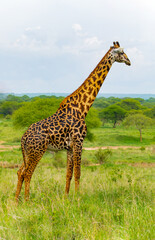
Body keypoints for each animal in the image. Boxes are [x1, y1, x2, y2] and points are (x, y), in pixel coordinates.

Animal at [14, 41, 131, 201]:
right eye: (122, 52)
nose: (129, 61)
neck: (83, 107)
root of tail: (23, 137)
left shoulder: (69, 147)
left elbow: (68, 174)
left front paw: (66, 197)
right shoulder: (79, 141)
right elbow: (78, 173)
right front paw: (78, 198)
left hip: (27, 152)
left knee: (20, 172)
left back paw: (16, 201)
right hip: (37, 150)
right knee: (28, 173)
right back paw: (27, 201)